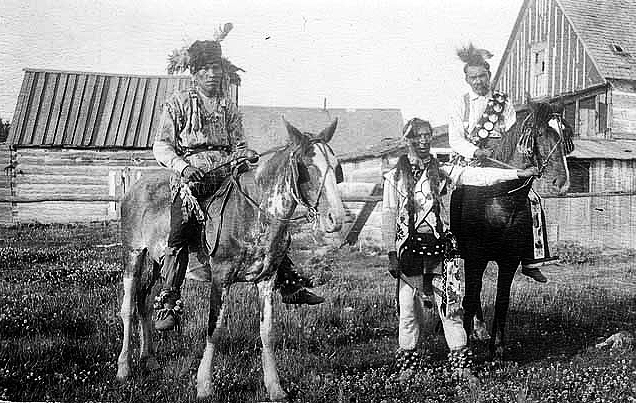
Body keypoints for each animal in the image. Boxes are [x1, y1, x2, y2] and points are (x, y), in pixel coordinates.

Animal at [113, 119, 342, 400]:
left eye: (336, 167)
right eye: (306, 166)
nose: (336, 218)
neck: (253, 213)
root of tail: (134, 189)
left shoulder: (266, 280)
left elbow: (267, 333)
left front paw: (275, 387)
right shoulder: (220, 279)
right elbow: (215, 328)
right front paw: (204, 385)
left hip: (157, 262)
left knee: (144, 301)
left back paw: (149, 359)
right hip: (133, 254)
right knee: (128, 308)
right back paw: (124, 367)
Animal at [452, 102, 576, 360]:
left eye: (565, 136)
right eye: (541, 134)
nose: (562, 183)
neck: (498, 199)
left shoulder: (508, 261)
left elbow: (502, 300)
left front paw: (497, 348)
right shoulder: (476, 257)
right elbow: (470, 296)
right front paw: (466, 347)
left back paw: (481, 331)